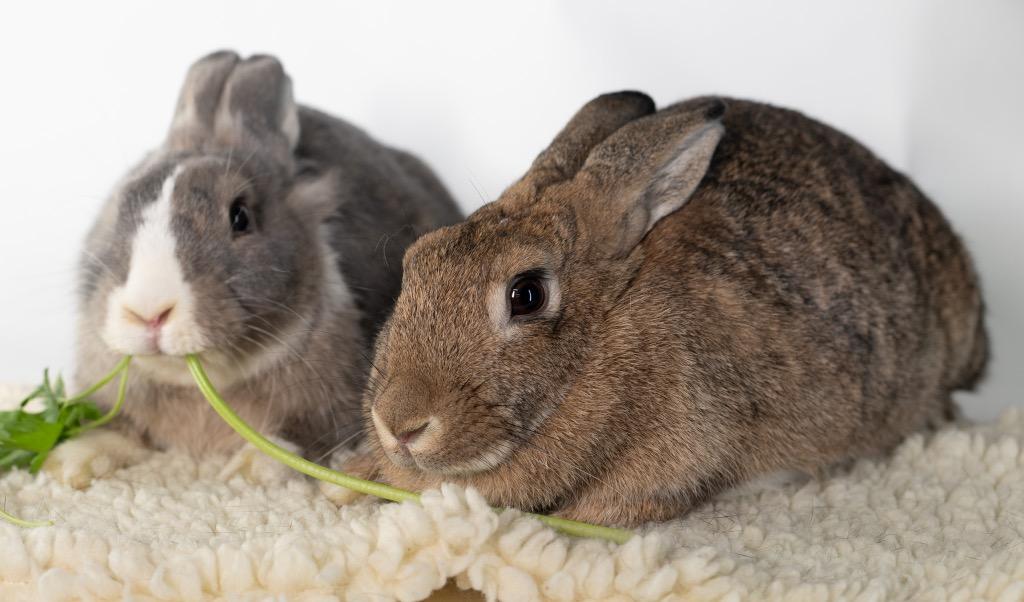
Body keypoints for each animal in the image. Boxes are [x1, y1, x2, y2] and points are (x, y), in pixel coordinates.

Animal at [44, 50, 462, 488]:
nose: (149, 312)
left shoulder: (335, 407)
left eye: (240, 217)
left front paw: (249, 470)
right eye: (121, 206)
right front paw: (69, 463)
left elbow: (290, 440)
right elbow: (114, 429)